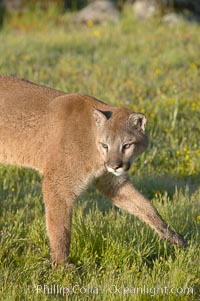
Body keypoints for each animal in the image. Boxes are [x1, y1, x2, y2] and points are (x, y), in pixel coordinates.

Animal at [0, 75, 186, 264]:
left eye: (127, 145)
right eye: (105, 145)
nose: (114, 165)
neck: (94, 143)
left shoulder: (112, 182)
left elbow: (144, 205)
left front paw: (172, 235)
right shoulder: (58, 184)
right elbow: (60, 228)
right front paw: (62, 265)